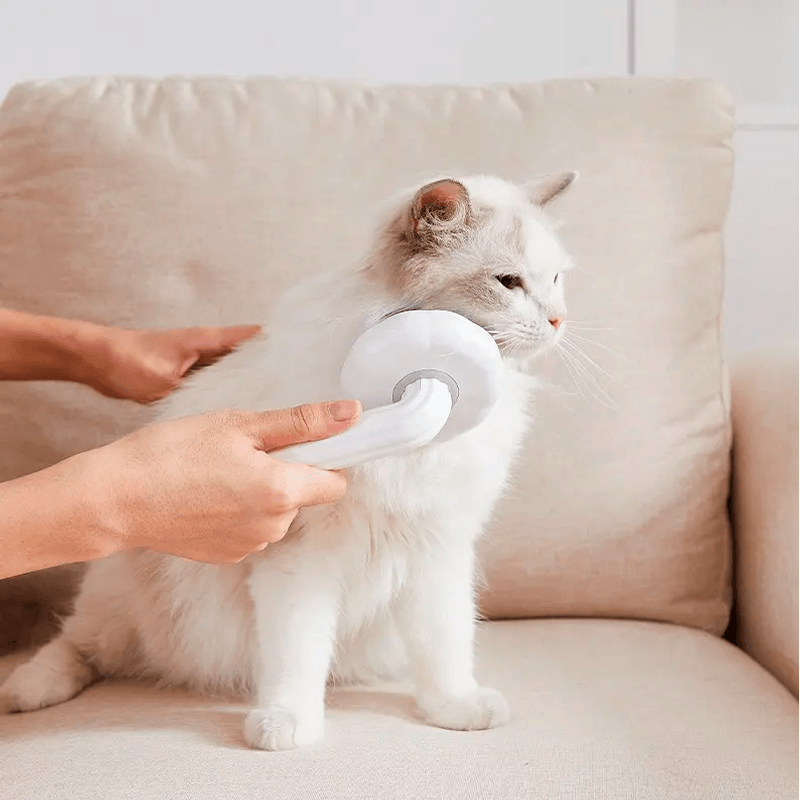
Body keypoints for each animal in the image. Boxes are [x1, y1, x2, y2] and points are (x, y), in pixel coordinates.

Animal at [0, 173, 576, 752]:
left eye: (554, 279)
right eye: (508, 282)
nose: (558, 319)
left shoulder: (437, 553)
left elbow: (445, 649)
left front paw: (456, 710)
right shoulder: (301, 562)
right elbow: (296, 656)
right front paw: (285, 725)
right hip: (119, 599)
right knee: (76, 646)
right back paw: (26, 690)